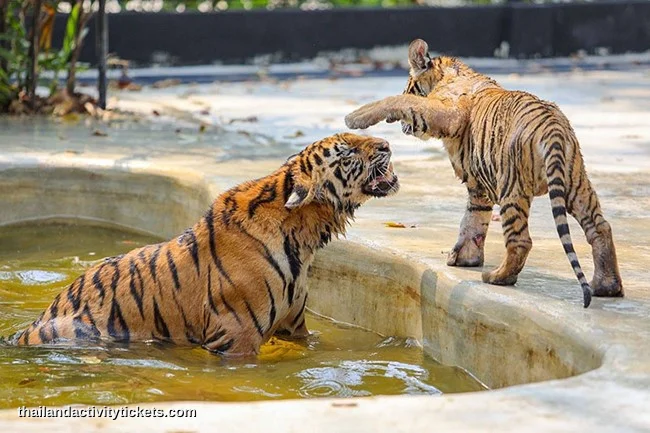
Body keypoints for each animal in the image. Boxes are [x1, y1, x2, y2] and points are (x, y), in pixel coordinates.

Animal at [344, 38, 623, 308]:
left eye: (408, 86)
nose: (403, 127)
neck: (450, 73)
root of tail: (552, 126)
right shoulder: (478, 188)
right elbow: (473, 221)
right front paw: (464, 258)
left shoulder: (445, 113)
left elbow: (404, 101)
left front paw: (355, 117)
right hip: (575, 183)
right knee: (600, 227)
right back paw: (606, 286)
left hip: (513, 187)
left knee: (521, 240)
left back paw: (498, 277)